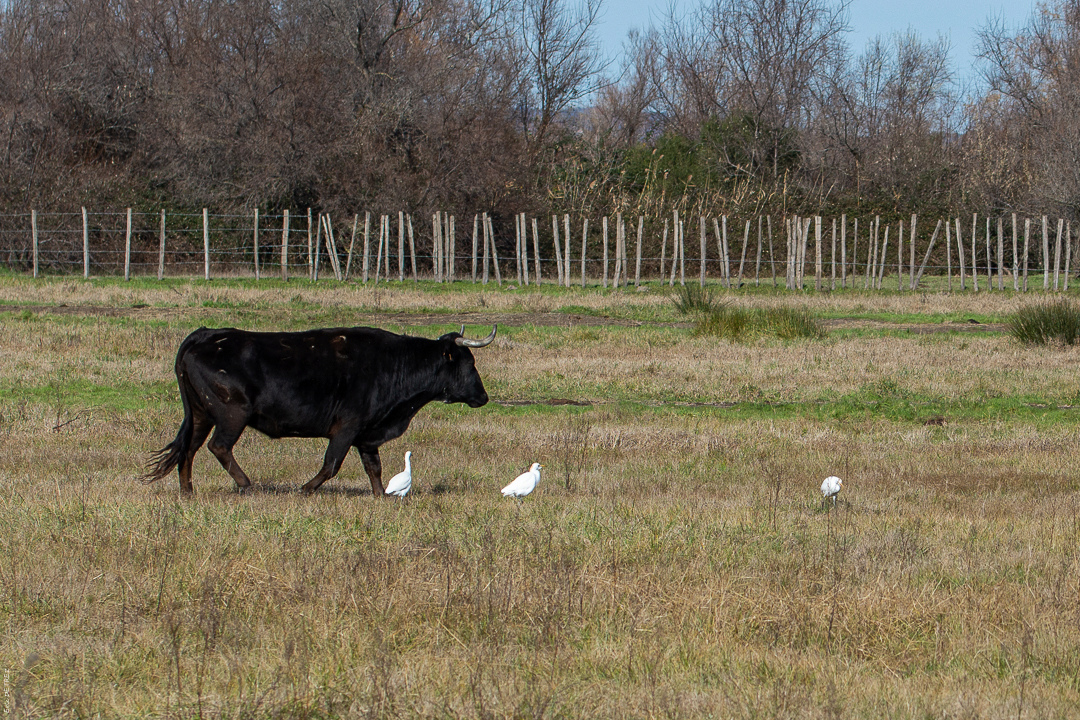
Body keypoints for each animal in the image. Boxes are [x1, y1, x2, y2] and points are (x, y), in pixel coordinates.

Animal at [144, 323, 496, 492]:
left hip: (200, 414)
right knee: (218, 447)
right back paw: (245, 484)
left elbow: (374, 468)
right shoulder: (347, 428)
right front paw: (306, 488)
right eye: (470, 363)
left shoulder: (366, 434)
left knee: (189, 449)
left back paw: (187, 491)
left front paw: (381, 496)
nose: (483, 397)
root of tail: (205, 334)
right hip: (232, 414)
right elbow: (331, 464)